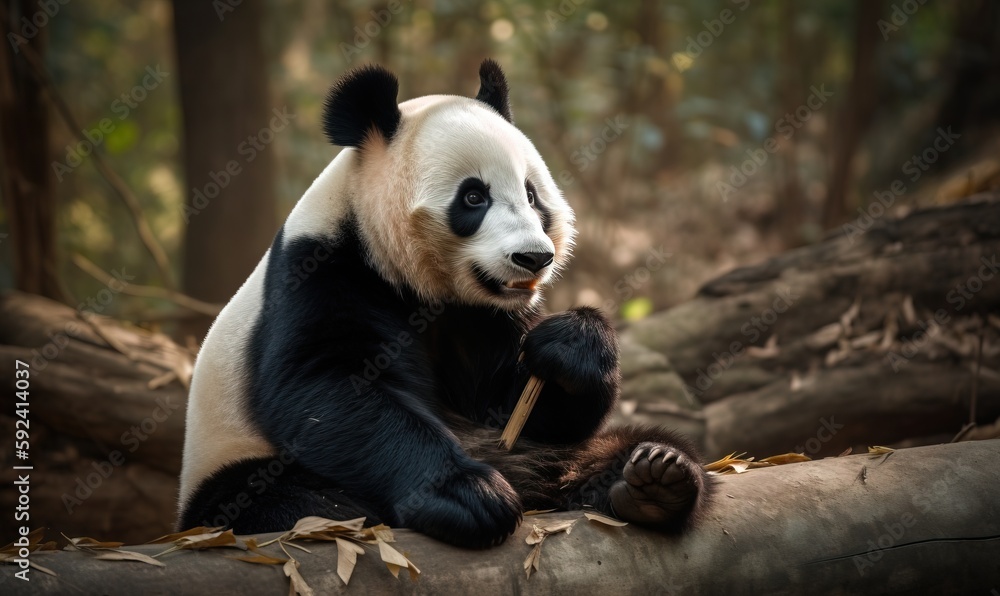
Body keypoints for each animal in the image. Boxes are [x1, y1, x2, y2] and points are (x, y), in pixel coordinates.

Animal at [178, 59, 711, 549]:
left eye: (532, 195)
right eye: (473, 197)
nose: (534, 257)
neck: (421, 283)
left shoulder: (484, 317)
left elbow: (517, 407)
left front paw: (569, 345)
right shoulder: (321, 271)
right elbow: (326, 387)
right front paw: (468, 497)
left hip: (537, 458)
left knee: (609, 450)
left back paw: (655, 480)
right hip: (232, 463)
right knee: (286, 500)